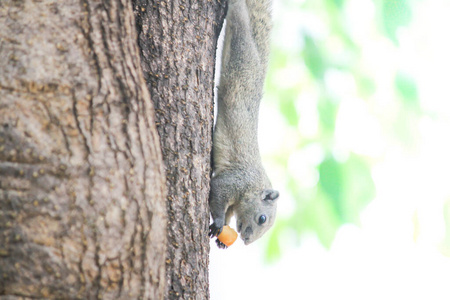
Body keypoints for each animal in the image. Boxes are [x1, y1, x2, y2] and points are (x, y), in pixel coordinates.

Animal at [209, 0, 280, 248]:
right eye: (262, 218)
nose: (247, 240)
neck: (254, 185)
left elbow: (228, 210)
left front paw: (222, 237)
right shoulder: (235, 180)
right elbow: (217, 192)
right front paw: (218, 221)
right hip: (241, 53)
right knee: (240, 20)